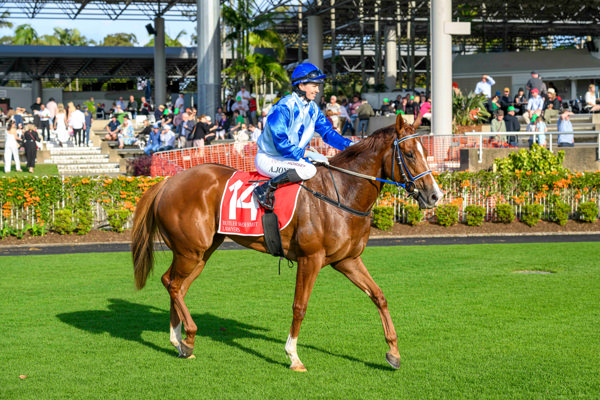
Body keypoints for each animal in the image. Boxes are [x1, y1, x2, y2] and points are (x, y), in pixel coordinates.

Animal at [132, 113, 440, 372]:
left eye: (426, 152)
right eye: (409, 154)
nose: (434, 195)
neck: (341, 194)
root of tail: (168, 182)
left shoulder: (347, 259)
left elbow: (379, 296)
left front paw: (393, 353)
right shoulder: (310, 258)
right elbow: (299, 306)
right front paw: (293, 356)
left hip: (201, 251)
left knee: (177, 286)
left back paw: (180, 341)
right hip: (190, 250)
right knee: (171, 283)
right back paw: (189, 337)